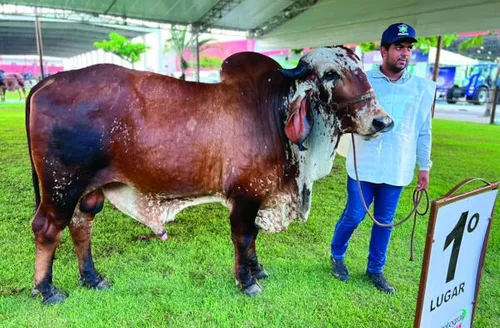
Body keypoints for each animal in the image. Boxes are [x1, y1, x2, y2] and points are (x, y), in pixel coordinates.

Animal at [27, 45, 392, 302]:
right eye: (331, 74)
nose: (382, 121)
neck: (273, 111)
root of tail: (49, 80)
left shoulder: (260, 192)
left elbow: (253, 237)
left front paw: (257, 270)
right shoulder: (245, 194)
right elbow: (243, 236)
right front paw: (246, 281)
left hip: (88, 191)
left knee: (81, 225)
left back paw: (92, 277)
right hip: (61, 188)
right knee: (47, 229)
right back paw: (46, 290)